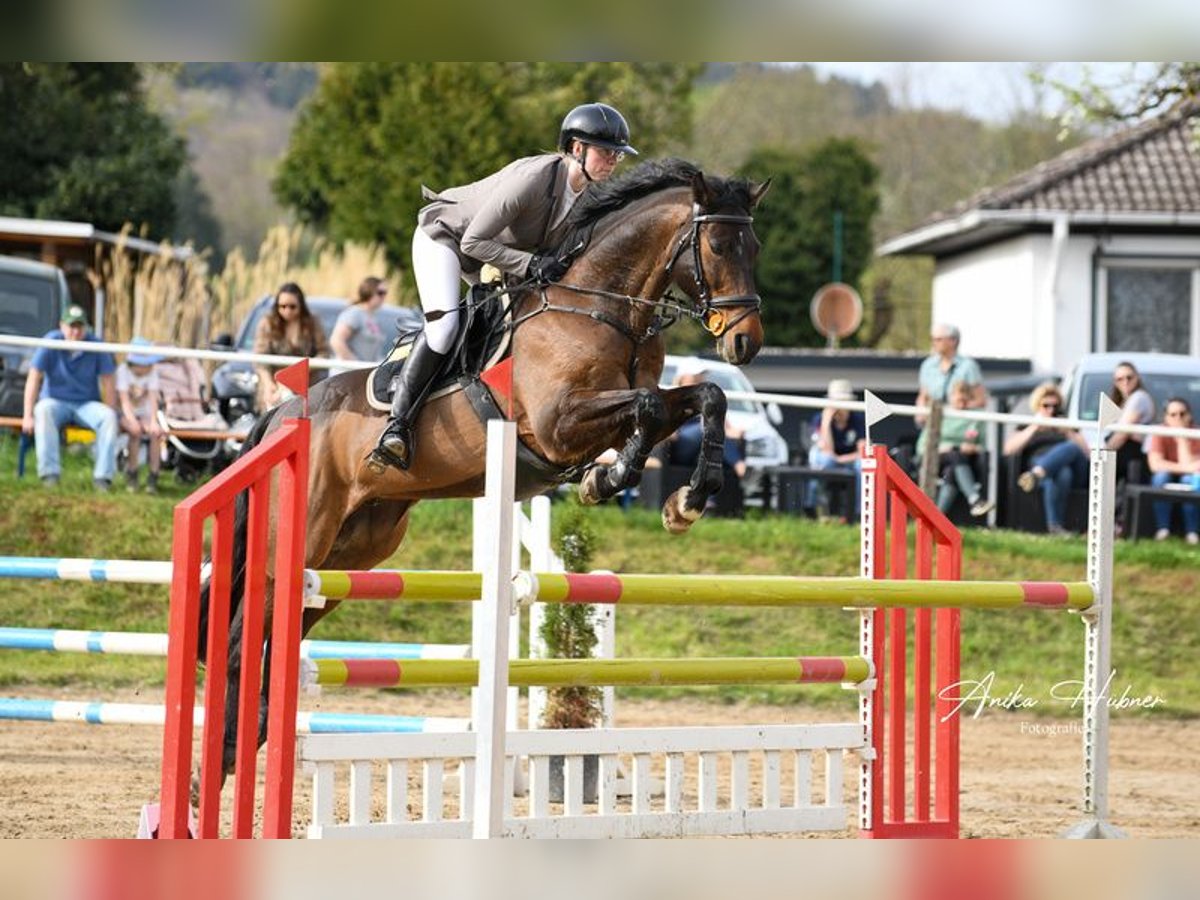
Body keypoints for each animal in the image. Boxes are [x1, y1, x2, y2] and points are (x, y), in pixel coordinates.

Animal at [204, 158, 768, 777]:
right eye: (718, 245)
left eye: (754, 246)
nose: (746, 342)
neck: (601, 306)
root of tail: (280, 413)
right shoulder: (556, 424)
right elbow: (645, 407)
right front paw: (612, 480)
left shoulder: (631, 407)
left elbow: (703, 398)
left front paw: (684, 498)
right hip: (296, 544)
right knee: (241, 638)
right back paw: (215, 766)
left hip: (348, 554)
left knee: (280, 633)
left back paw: (237, 747)